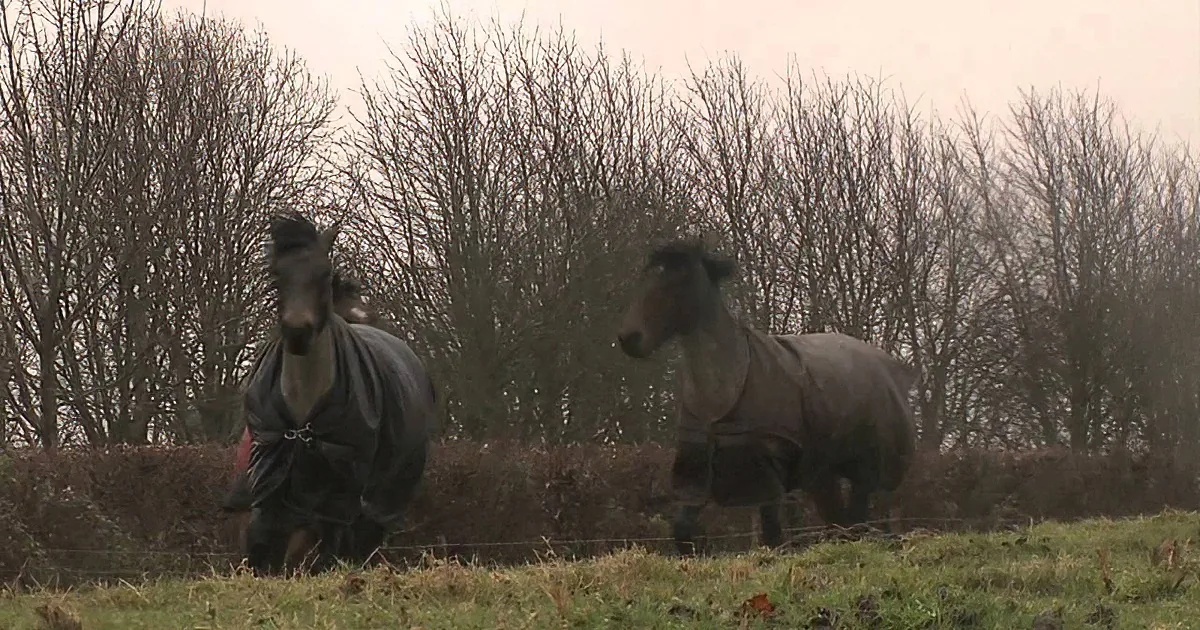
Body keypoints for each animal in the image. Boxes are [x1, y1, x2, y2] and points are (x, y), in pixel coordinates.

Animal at [231, 213, 436, 576]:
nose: (298, 332)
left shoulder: (338, 501)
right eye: (276, 274)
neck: (301, 425)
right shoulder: (270, 498)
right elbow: (263, 551)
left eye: (324, 273)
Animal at [615, 239, 919, 556]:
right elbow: (683, 532)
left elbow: (773, 536)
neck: (723, 393)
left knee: (856, 523)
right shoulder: (694, 476)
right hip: (823, 478)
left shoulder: (767, 477)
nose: (629, 338)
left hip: (865, 474)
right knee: (841, 525)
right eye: (645, 277)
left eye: (678, 278)